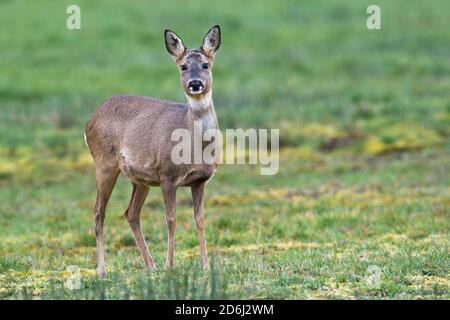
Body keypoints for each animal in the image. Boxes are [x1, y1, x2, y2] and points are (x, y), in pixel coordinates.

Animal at [84, 25, 221, 276]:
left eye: (206, 64)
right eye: (183, 66)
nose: (195, 83)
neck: (195, 147)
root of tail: (89, 120)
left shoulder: (200, 181)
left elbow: (200, 219)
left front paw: (206, 266)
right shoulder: (167, 176)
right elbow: (171, 219)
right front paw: (170, 265)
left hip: (141, 179)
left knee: (130, 213)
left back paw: (151, 266)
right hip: (104, 163)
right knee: (99, 212)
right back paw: (102, 271)